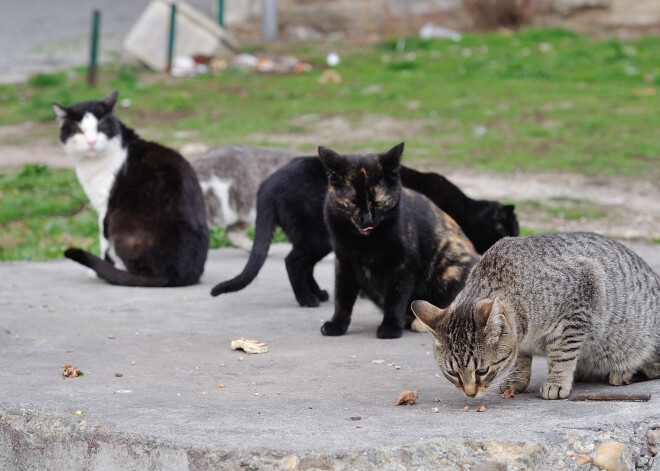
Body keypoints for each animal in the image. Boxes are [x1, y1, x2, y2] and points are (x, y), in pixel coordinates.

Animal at [52, 90, 209, 286]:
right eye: (79, 131)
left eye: (101, 128)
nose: (91, 142)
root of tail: (177, 274)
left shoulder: (105, 208)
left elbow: (103, 239)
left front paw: (99, 271)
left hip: (120, 223)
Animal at [318, 144, 476, 340]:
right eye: (353, 204)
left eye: (379, 203)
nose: (367, 221)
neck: (365, 244)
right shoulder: (344, 263)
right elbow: (342, 298)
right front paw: (337, 325)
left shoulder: (403, 265)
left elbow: (396, 299)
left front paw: (390, 327)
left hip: (452, 268)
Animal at [410, 231, 660, 398]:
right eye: (452, 373)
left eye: (482, 371)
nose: (470, 393)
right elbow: (520, 360)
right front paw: (515, 379)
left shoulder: (578, 306)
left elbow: (562, 354)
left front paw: (556, 381)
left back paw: (625, 372)